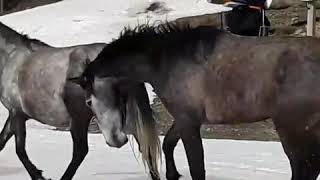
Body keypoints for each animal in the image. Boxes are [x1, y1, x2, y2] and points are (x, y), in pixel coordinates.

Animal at [0, 22, 160, 180]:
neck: (11, 58)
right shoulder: (16, 114)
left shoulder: (16, 113)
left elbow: (20, 150)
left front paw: (39, 176)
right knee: (146, 148)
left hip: (80, 119)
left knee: (80, 151)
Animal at [81, 22, 320, 180]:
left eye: (88, 102)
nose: (114, 141)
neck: (167, 60)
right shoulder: (184, 117)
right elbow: (169, 143)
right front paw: (173, 174)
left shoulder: (189, 121)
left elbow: (196, 165)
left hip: (292, 129)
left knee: (303, 168)